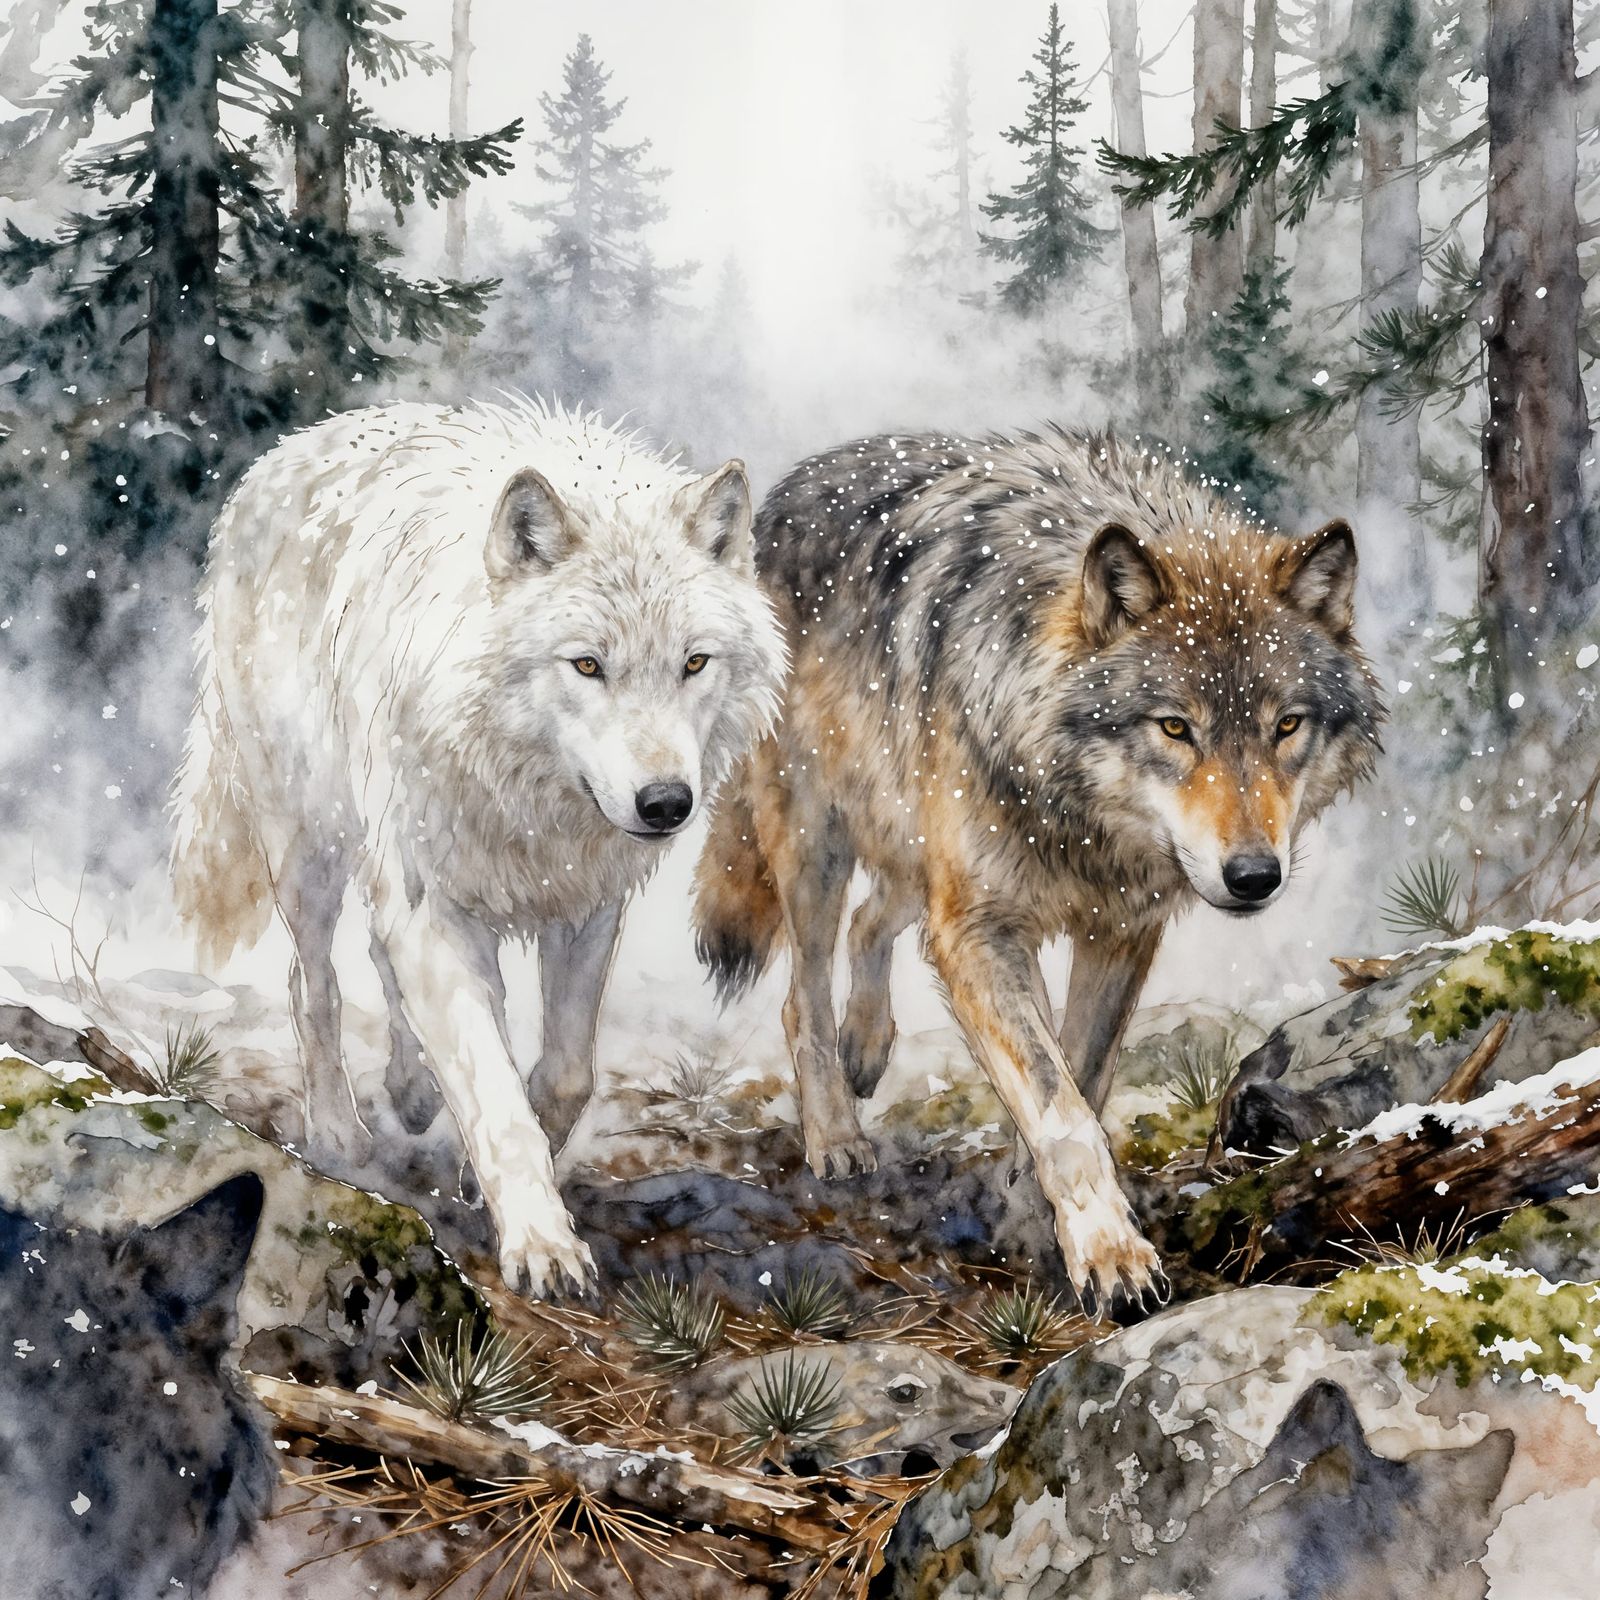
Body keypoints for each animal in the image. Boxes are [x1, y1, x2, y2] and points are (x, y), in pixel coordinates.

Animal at [173, 401, 786, 1298]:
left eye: (694, 663)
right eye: (587, 665)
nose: (666, 803)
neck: (529, 800)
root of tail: (283, 455)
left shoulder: (585, 904)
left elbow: (563, 1077)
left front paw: (474, 1169)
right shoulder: (435, 907)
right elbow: (494, 1089)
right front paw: (542, 1244)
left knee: (378, 964)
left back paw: (411, 1089)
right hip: (309, 840)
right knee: (311, 981)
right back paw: (338, 1128)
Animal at [695, 429, 1383, 1316]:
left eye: (1286, 726)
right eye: (1175, 728)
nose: (1254, 875)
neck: (1080, 817)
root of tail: (781, 497)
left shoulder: (1121, 930)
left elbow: (1080, 1072)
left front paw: (1036, 1201)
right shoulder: (979, 928)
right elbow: (1061, 1107)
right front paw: (1113, 1258)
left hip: (913, 850)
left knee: (872, 925)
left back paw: (868, 1045)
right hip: (819, 843)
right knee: (803, 994)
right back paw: (837, 1133)